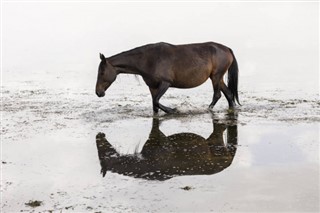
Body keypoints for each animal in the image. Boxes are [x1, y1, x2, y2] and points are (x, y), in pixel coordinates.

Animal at [95, 41, 240, 113]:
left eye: (101, 73)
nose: (98, 92)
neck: (148, 60)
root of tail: (227, 49)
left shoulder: (165, 83)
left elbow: (156, 101)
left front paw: (173, 110)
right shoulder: (152, 87)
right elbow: (154, 104)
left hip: (216, 76)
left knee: (218, 95)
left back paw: (207, 109)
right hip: (217, 77)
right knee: (228, 94)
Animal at [95, 116, 238, 180]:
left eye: (102, 152)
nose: (99, 135)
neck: (147, 163)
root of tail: (229, 161)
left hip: (216, 141)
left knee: (219, 129)